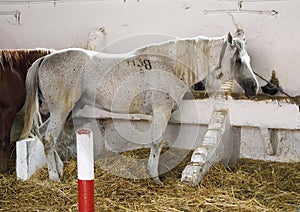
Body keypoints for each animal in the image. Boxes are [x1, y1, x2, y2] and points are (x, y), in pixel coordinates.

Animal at [19, 32, 258, 183]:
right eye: (238, 61)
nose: (254, 87)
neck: (170, 65)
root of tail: (45, 59)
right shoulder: (161, 112)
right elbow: (157, 142)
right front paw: (154, 177)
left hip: (64, 111)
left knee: (42, 134)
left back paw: (58, 169)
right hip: (60, 110)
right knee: (49, 138)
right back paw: (54, 177)